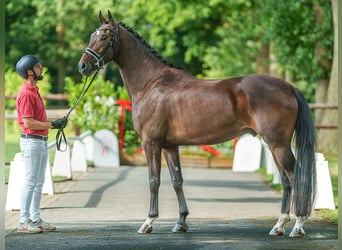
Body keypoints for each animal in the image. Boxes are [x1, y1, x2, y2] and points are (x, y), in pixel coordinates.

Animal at [79, 10, 316, 237]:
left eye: (104, 36)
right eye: (91, 35)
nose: (83, 66)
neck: (151, 83)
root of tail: (289, 87)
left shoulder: (151, 143)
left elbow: (154, 180)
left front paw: (148, 222)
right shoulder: (170, 146)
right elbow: (177, 181)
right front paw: (181, 222)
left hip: (278, 145)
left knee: (295, 177)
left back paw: (298, 225)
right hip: (274, 146)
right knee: (285, 180)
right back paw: (279, 225)